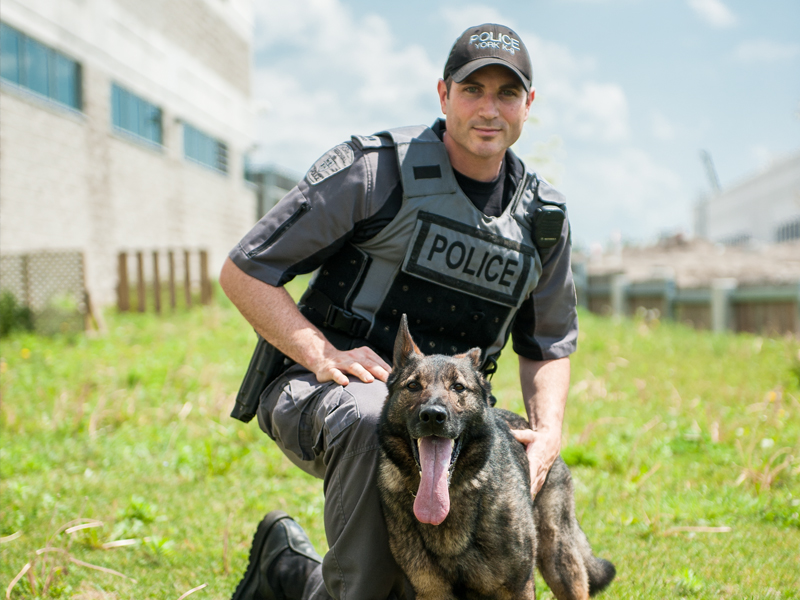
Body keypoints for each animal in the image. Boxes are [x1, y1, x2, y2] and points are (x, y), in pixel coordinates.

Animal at [378, 316, 616, 596]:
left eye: (458, 387)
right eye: (413, 386)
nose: (433, 415)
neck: (450, 495)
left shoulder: (518, 586)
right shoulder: (431, 591)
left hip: (559, 564)